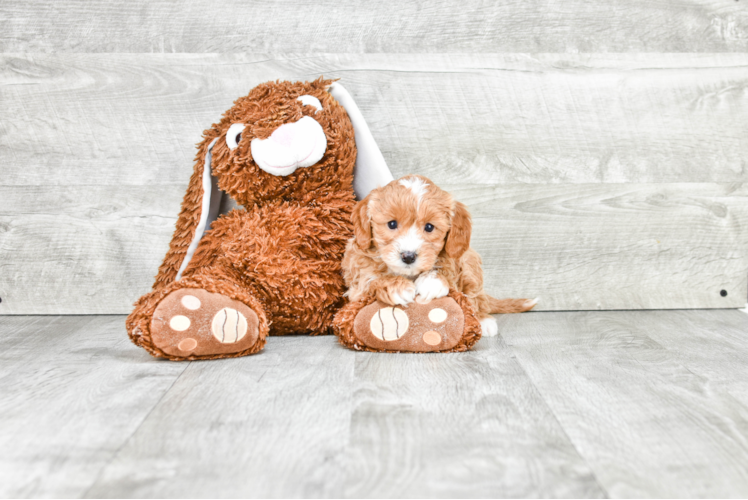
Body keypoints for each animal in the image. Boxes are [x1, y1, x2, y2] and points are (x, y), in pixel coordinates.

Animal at [342, 175, 536, 336]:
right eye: (391, 224)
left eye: (429, 227)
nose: (408, 256)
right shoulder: (356, 280)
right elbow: (370, 278)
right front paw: (396, 286)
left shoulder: (455, 258)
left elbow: (446, 267)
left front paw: (432, 281)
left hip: (470, 261)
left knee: (476, 296)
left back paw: (483, 320)